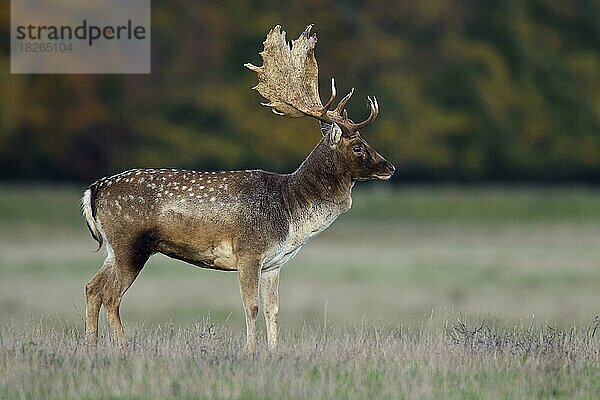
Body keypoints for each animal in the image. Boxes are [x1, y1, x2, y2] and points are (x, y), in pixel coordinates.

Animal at [83, 23, 394, 352]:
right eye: (358, 147)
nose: (390, 167)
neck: (290, 212)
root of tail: (93, 191)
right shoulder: (248, 251)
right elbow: (251, 306)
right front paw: (250, 350)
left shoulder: (273, 263)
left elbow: (273, 309)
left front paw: (273, 352)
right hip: (130, 244)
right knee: (110, 296)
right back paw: (123, 347)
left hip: (114, 249)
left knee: (92, 288)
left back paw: (91, 347)